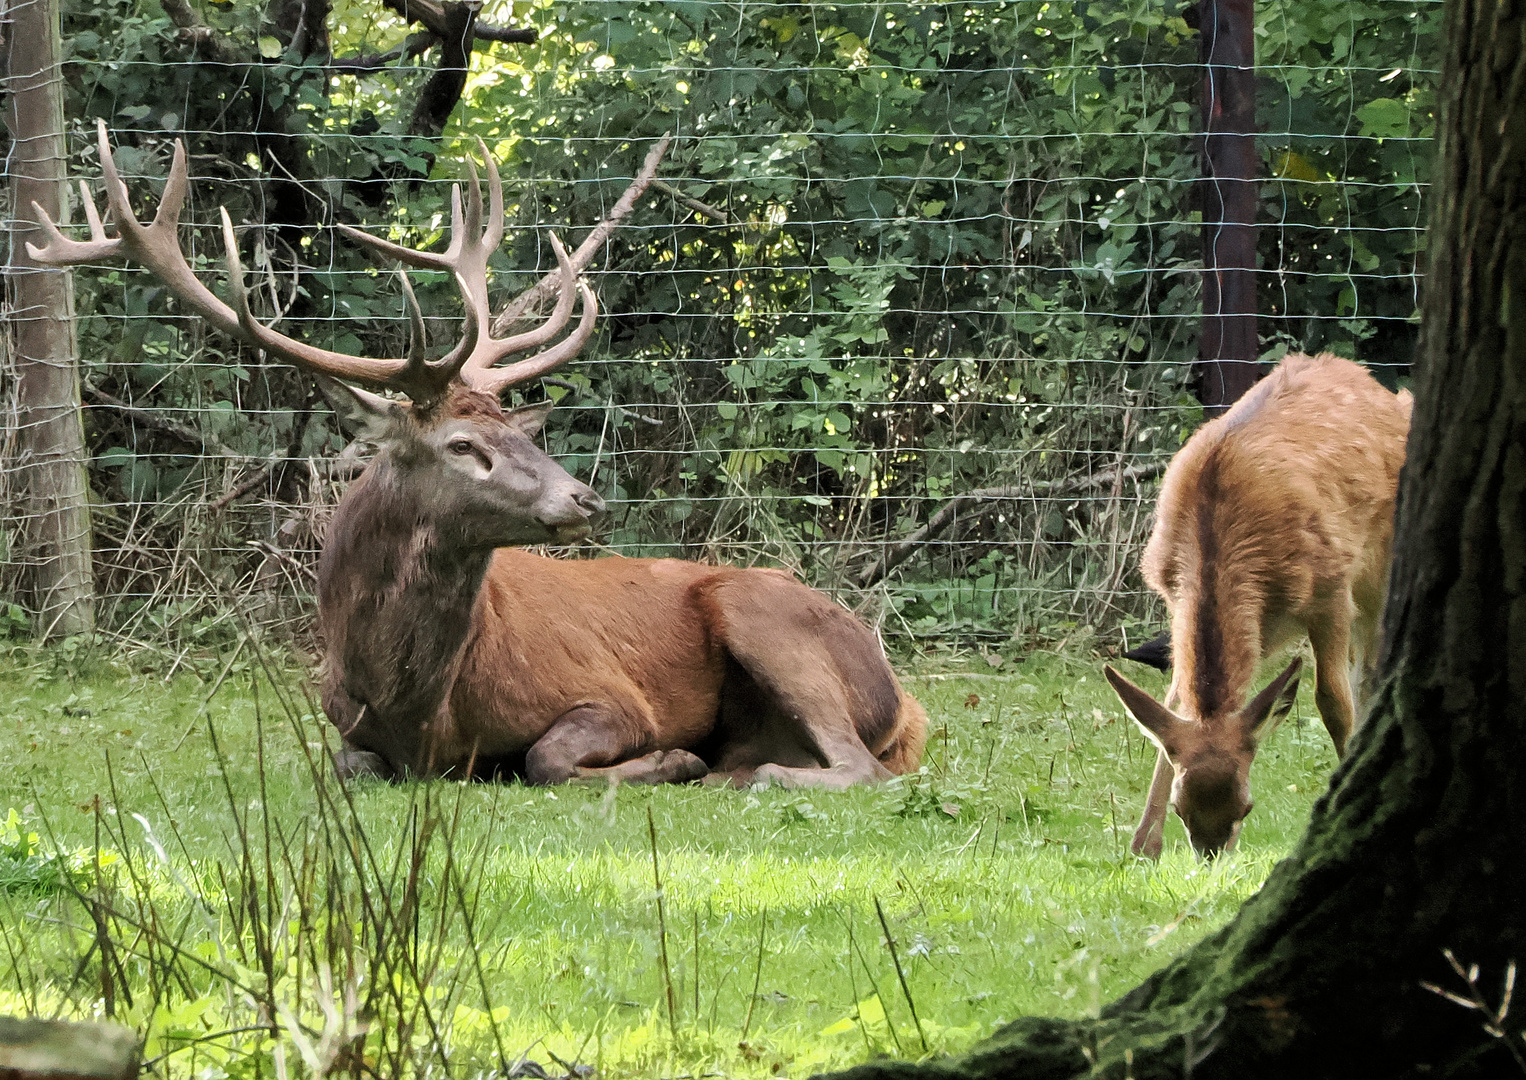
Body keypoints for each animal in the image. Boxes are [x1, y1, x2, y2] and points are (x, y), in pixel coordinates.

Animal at [35, 122, 921, 787]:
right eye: (463, 444)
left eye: (522, 434)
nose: (585, 499)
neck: (421, 711)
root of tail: (902, 702)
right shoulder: (343, 729)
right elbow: (351, 765)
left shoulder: (612, 694)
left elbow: (545, 758)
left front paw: (670, 758)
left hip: (763, 613)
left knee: (858, 767)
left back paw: (745, 772)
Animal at [1104, 358, 1410, 854]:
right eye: (1181, 809)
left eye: (1245, 807)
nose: (1212, 858)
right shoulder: (1171, 593)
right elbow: (1173, 700)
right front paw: (1144, 845)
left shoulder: (1330, 590)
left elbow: (1331, 699)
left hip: (1377, 569)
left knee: (1369, 671)